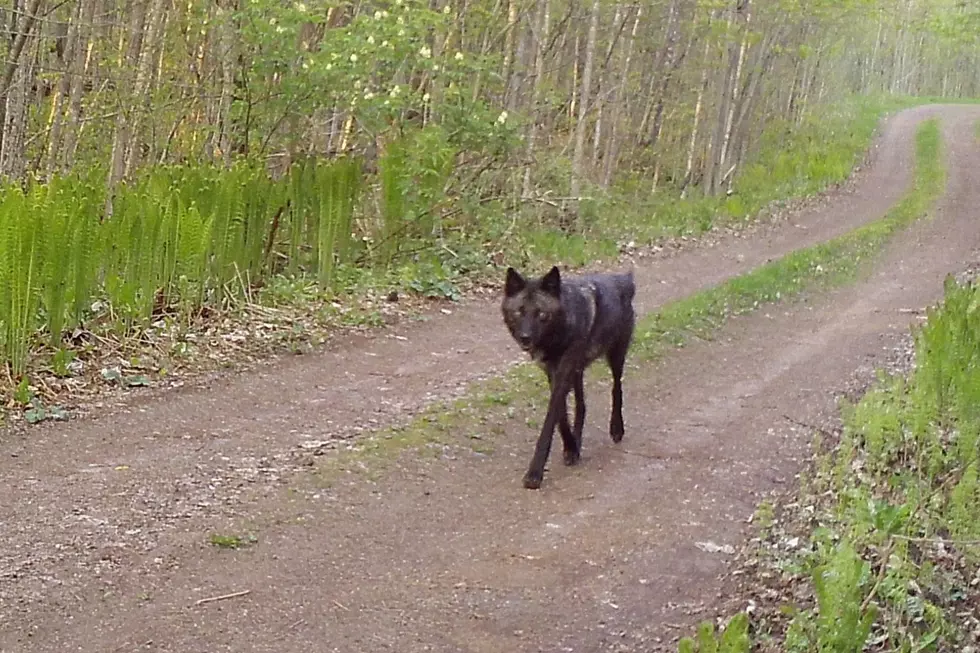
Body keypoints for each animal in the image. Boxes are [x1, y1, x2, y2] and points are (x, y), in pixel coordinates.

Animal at [501, 265, 636, 489]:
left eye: (541, 314)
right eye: (519, 312)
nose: (525, 338)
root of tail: (623, 279)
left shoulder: (564, 373)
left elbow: (550, 422)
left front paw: (534, 473)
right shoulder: (553, 374)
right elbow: (562, 416)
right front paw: (571, 447)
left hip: (615, 356)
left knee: (616, 388)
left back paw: (616, 428)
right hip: (578, 370)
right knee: (581, 404)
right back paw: (577, 439)